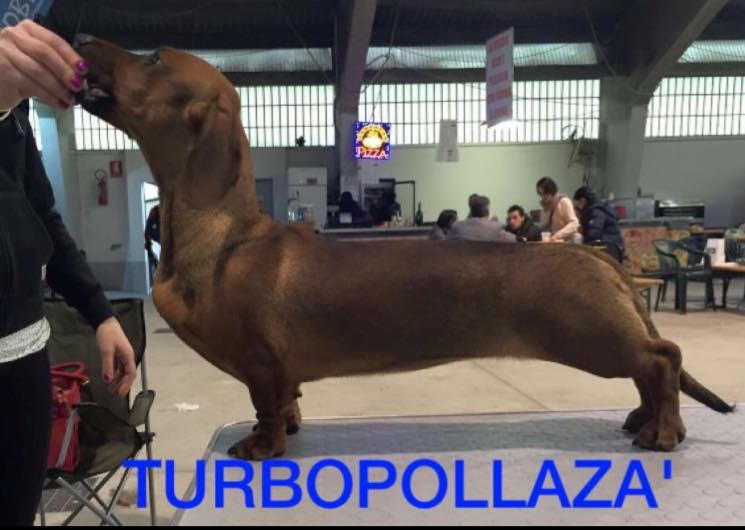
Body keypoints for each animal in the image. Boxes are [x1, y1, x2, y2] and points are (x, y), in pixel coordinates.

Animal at [73, 36, 733, 460]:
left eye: (152, 58)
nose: (78, 37)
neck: (227, 237)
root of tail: (591, 253)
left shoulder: (261, 362)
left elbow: (265, 405)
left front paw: (263, 445)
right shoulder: (279, 372)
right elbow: (286, 402)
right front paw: (289, 427)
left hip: (591, 338)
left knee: (662, 359)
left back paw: (662, 433)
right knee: (650, 369)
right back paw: (643, 420)